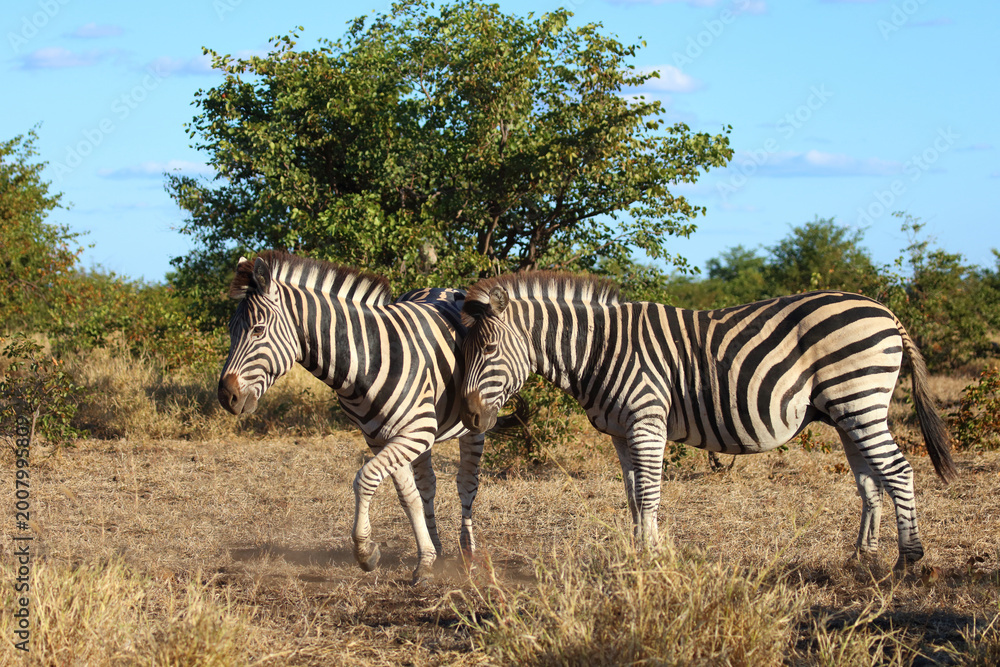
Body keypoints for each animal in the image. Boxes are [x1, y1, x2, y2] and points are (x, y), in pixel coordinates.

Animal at [217, 250, 518, 582]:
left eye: (257, 330)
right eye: (230, 330)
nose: (226, 396)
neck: (366, 358)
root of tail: (446, 288)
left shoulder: (414, 431)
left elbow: (365, 479)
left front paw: (365, 552)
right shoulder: (380, 437)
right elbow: (408, 495)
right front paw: (426, 558)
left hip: (474, 423)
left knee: (466, 483)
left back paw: (468, 554)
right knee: (428, 484)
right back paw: (438, 548)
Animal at [457, 273, 957, 569]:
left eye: (489, 350)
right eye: (463, 351)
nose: (469, 416)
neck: (599, 347)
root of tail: (884, 309)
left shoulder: (647, 420)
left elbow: (649, 494)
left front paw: (651, 557)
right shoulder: (621, 432)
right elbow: (633, 496)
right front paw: (640, 554)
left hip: (859, 399)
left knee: (899, 470)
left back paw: (910, 560)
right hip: (848, 411)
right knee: (871, 480)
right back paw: (861, 558)